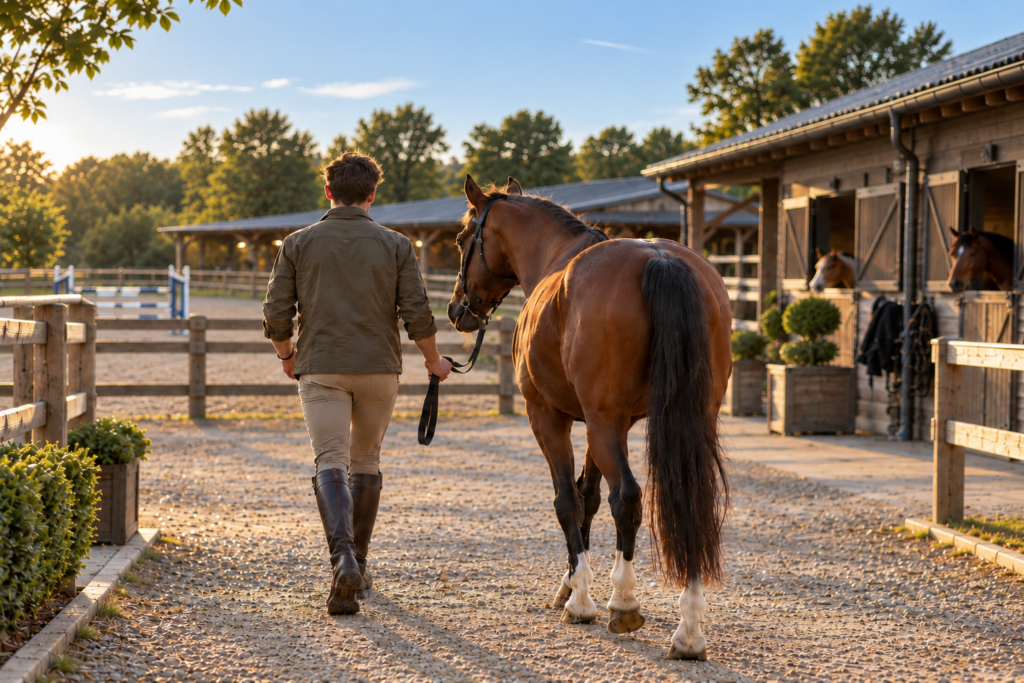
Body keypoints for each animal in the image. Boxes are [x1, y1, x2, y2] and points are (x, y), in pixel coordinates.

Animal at [447, 175, 732, 660]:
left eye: (463, 239)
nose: (456, 310)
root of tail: (661, 259)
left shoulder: (551, 417)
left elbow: (568, 499)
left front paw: (579, 599)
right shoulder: (609, 423)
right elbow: (589, 496)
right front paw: (568, 584)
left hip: (599, 423)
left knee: (629, 499)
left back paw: (624, 602)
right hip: (680, 420)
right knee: (689, 502)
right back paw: (689, 629)